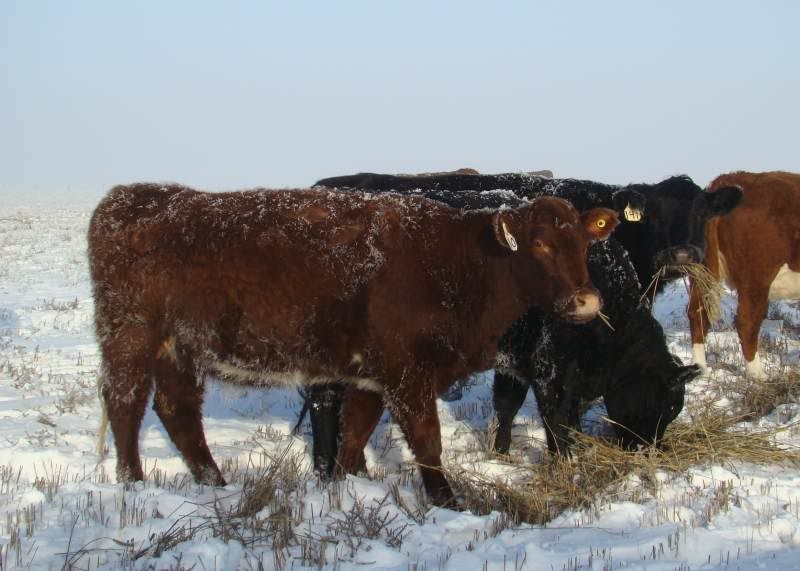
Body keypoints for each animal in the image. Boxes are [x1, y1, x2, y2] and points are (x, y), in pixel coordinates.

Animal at [90, 183, 617, 506]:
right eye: (540, 244)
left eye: (584, 244)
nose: (587, 301)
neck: (461, 262)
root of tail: (132, 198)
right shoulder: (408, 372)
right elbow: (427, 440)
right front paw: (448, 501)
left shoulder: (370, 373)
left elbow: (356, 431)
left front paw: (346, 488)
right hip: (130, 337)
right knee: (126, 404)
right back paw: (132, 482)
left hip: (180, 349)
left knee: (177, 411)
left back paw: (215, 483)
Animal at [688, 171, 800, 380]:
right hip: (756, 278)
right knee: (746, 321)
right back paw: (758, 375)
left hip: (701, 271)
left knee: (697, 312)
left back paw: (701, 368)